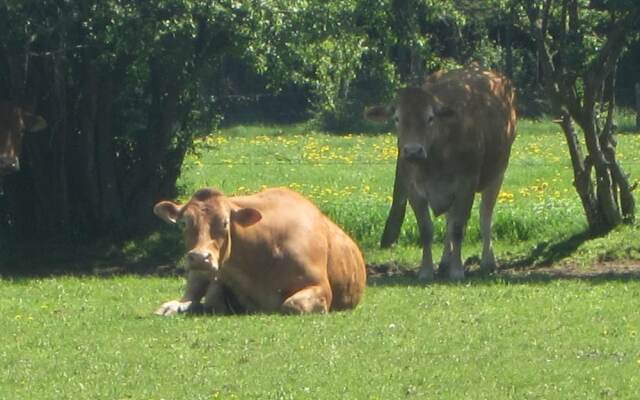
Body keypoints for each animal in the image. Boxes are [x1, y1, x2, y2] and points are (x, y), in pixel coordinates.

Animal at [152, 188, 368, 316]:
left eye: (225, 223)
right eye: (183, 223)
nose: (199, 257)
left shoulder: (320, 286)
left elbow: (291, 305)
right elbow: (212, 298)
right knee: (191, 295)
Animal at [364, 65, 516, 280]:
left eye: (430, 118)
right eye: (397, 118)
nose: (413, 151)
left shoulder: (466, 185)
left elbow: (459, 227)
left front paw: (457, 270)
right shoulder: (413, 189)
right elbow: (427, 229)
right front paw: (426, 270)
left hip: (497, 173)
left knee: (485, 215)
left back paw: (487, 261)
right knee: (449, 220)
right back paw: (445, 261)